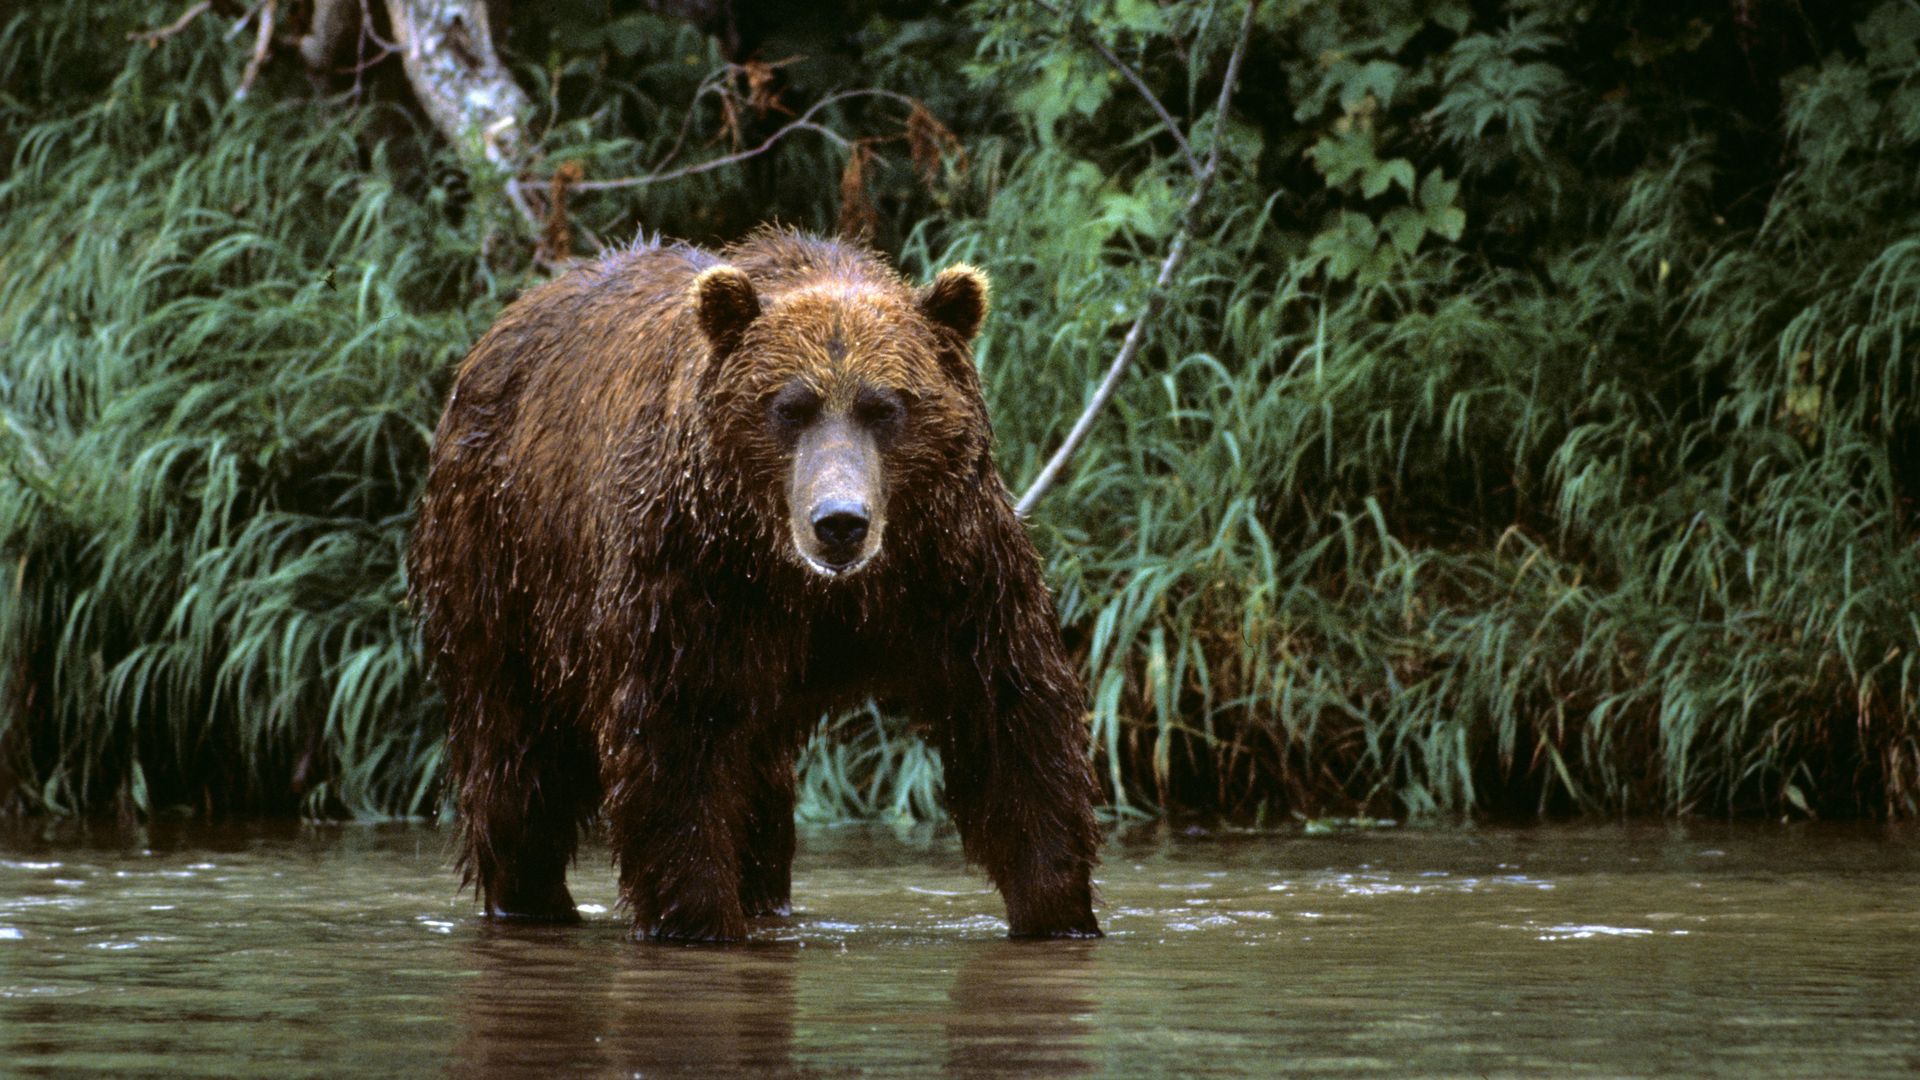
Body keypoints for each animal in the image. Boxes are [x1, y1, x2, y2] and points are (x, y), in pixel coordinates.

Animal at [408, 228, 1102, 941]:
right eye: (790, 407)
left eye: (885, 407)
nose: (840, 522)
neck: (810, 586)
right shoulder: (692, 576)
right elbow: (676, 744)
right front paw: (698, 917)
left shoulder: (949, 569)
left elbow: (1011, 721)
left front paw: (1058, 908)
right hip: (505, 567)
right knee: (517, 756)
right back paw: (531, 897)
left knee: (757, 786)